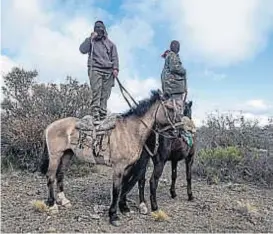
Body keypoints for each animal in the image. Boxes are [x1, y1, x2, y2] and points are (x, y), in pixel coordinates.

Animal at [39, 90, 181, 226]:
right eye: (170, 108)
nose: (179, 131)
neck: (130, 131)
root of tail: (50, 126)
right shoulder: (118, 167)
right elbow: (116, 190)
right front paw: (113, 216)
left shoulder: (127, 167)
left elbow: (124, 186)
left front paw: (124, 208)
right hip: (55, 156)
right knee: (50, 176)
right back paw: (52, 205)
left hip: (67, 154)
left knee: (60, 175)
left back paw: (64, 200)